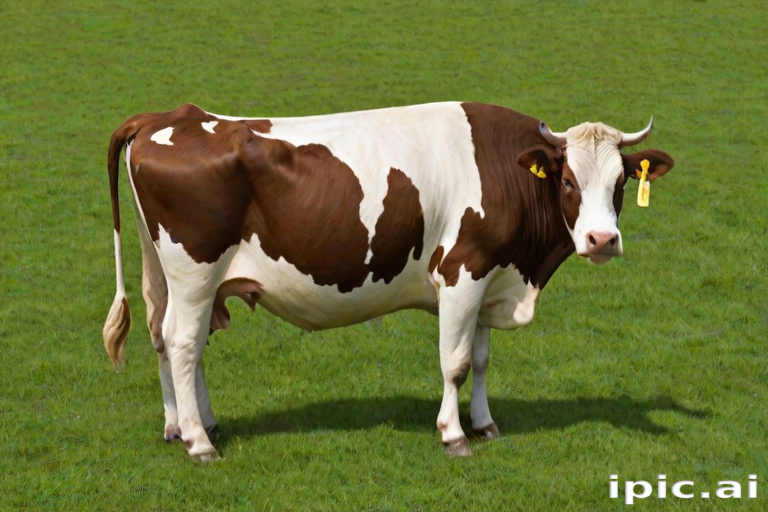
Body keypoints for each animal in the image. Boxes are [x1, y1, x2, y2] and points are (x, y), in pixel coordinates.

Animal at [102, 102, 674, 463]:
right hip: (195, 271)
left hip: (168, 273)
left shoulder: (489, 277)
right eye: (569, 181)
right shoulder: (462, 271)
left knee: (168, 338)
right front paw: (454, 435)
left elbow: (482, 359)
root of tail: (169, 116)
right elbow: (455, 362)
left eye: (620, 182)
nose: (602, 240)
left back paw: (184, 426)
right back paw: (200, 443)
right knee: (182, 342)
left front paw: (485, 424)